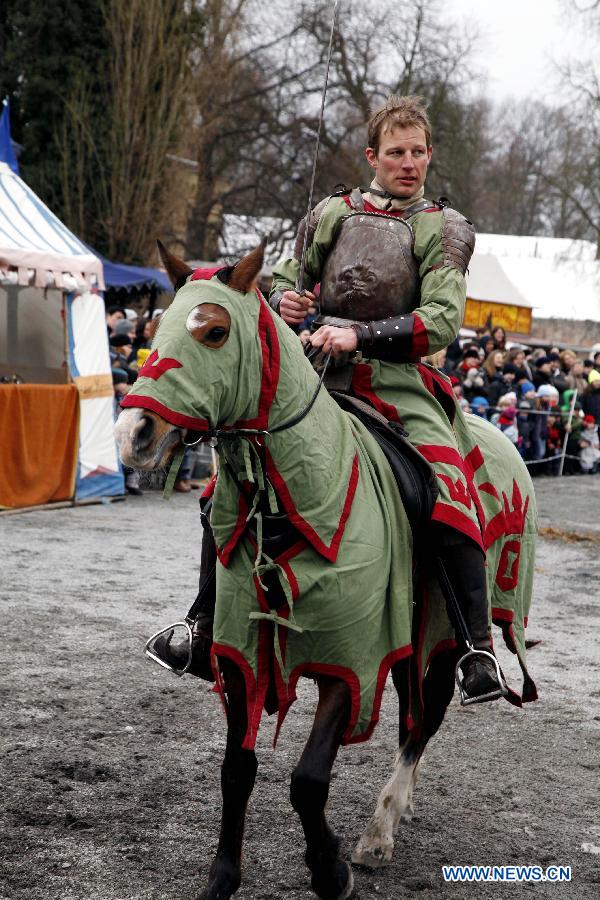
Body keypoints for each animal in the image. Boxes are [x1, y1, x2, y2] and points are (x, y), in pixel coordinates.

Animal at [115, 241, 536, 900]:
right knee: (415, 714)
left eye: (214, 332)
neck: (306, 499)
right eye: (156, 328)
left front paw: (330, 868)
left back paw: (380, 829)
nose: (133, 434)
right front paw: (223, 877)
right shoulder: (242, 656)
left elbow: (309, 779)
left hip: (444, 626)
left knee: (427, 716)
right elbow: (237, 769)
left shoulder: (353, 663)